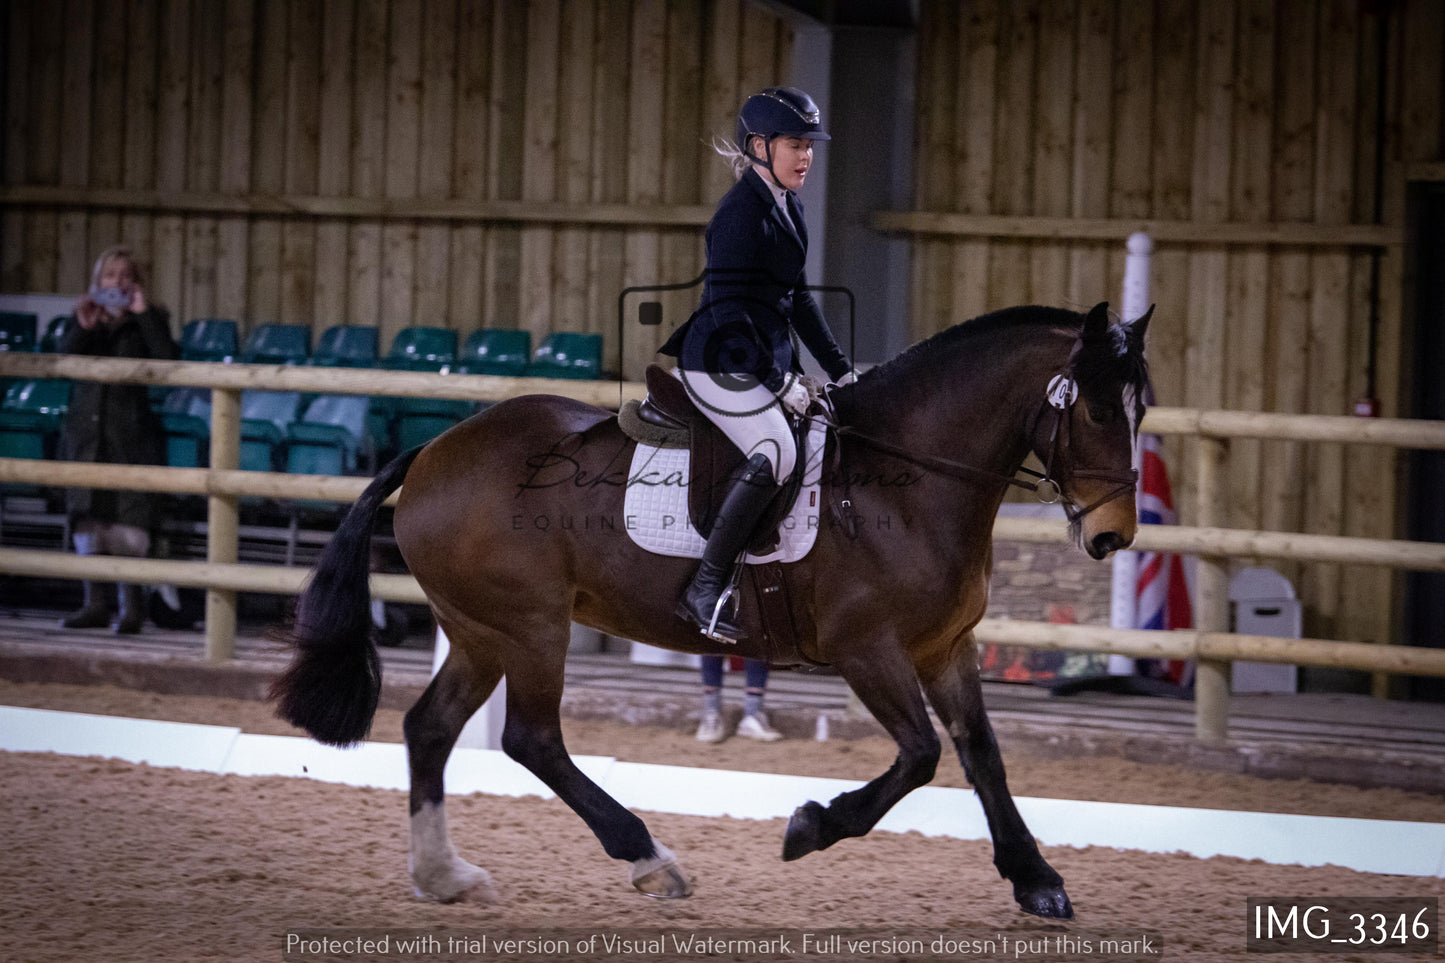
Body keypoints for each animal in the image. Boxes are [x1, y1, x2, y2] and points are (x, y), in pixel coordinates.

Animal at [271, 297, 1150, 913]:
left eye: (1140, 409)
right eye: (1098, 409)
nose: (1112, 534)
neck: (908, 481)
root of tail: (432, 449)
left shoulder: (944, 647)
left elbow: (981, 755)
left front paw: (1036, 880)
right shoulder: (868, 649)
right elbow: (920, 756)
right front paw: (810, 825)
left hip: (481, 631)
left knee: (431, 728)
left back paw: (445, 875)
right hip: (529, 627)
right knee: (531, 738)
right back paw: (649, 859)